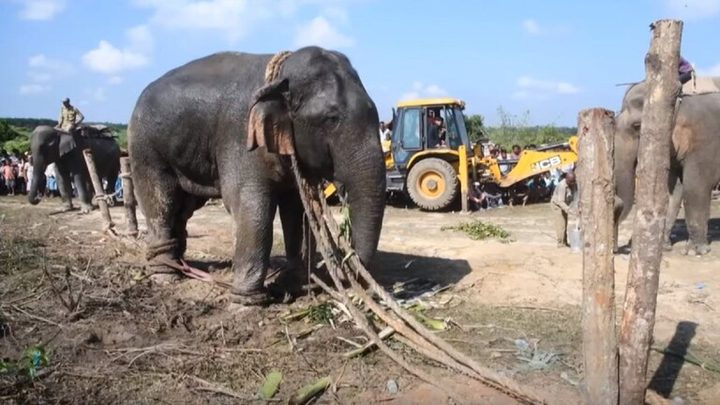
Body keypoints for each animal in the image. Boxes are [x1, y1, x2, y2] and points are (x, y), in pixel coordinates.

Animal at [128, 47, 388, 304]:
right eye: (331, 119)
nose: (345, 267)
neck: (280, 78)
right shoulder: (240, 137)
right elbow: (250, 203)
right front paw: (247, 301)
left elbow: (296, 210)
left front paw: (293, 286)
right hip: (145, 148)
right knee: (161, 201)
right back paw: (165, 274)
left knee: (184, 208)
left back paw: (181, 265)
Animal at [612, 76, 720, 254]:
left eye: (637, 126)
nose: (618, 249)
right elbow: (671, 190)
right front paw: (663, 247)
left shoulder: (706, 139)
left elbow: (695, 187)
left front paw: (696, 250)